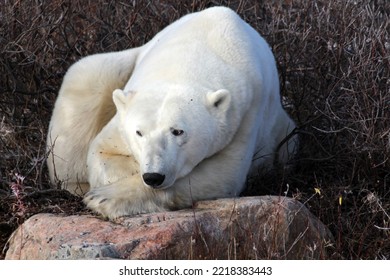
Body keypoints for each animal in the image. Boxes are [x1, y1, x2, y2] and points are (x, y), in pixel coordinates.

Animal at [46, 6, 296, 219]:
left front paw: (104, 197)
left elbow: (223, 172)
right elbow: (102, 151)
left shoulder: (243, 116)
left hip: (282, 134)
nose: (153, 176)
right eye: (139, 132)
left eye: (178, 131)